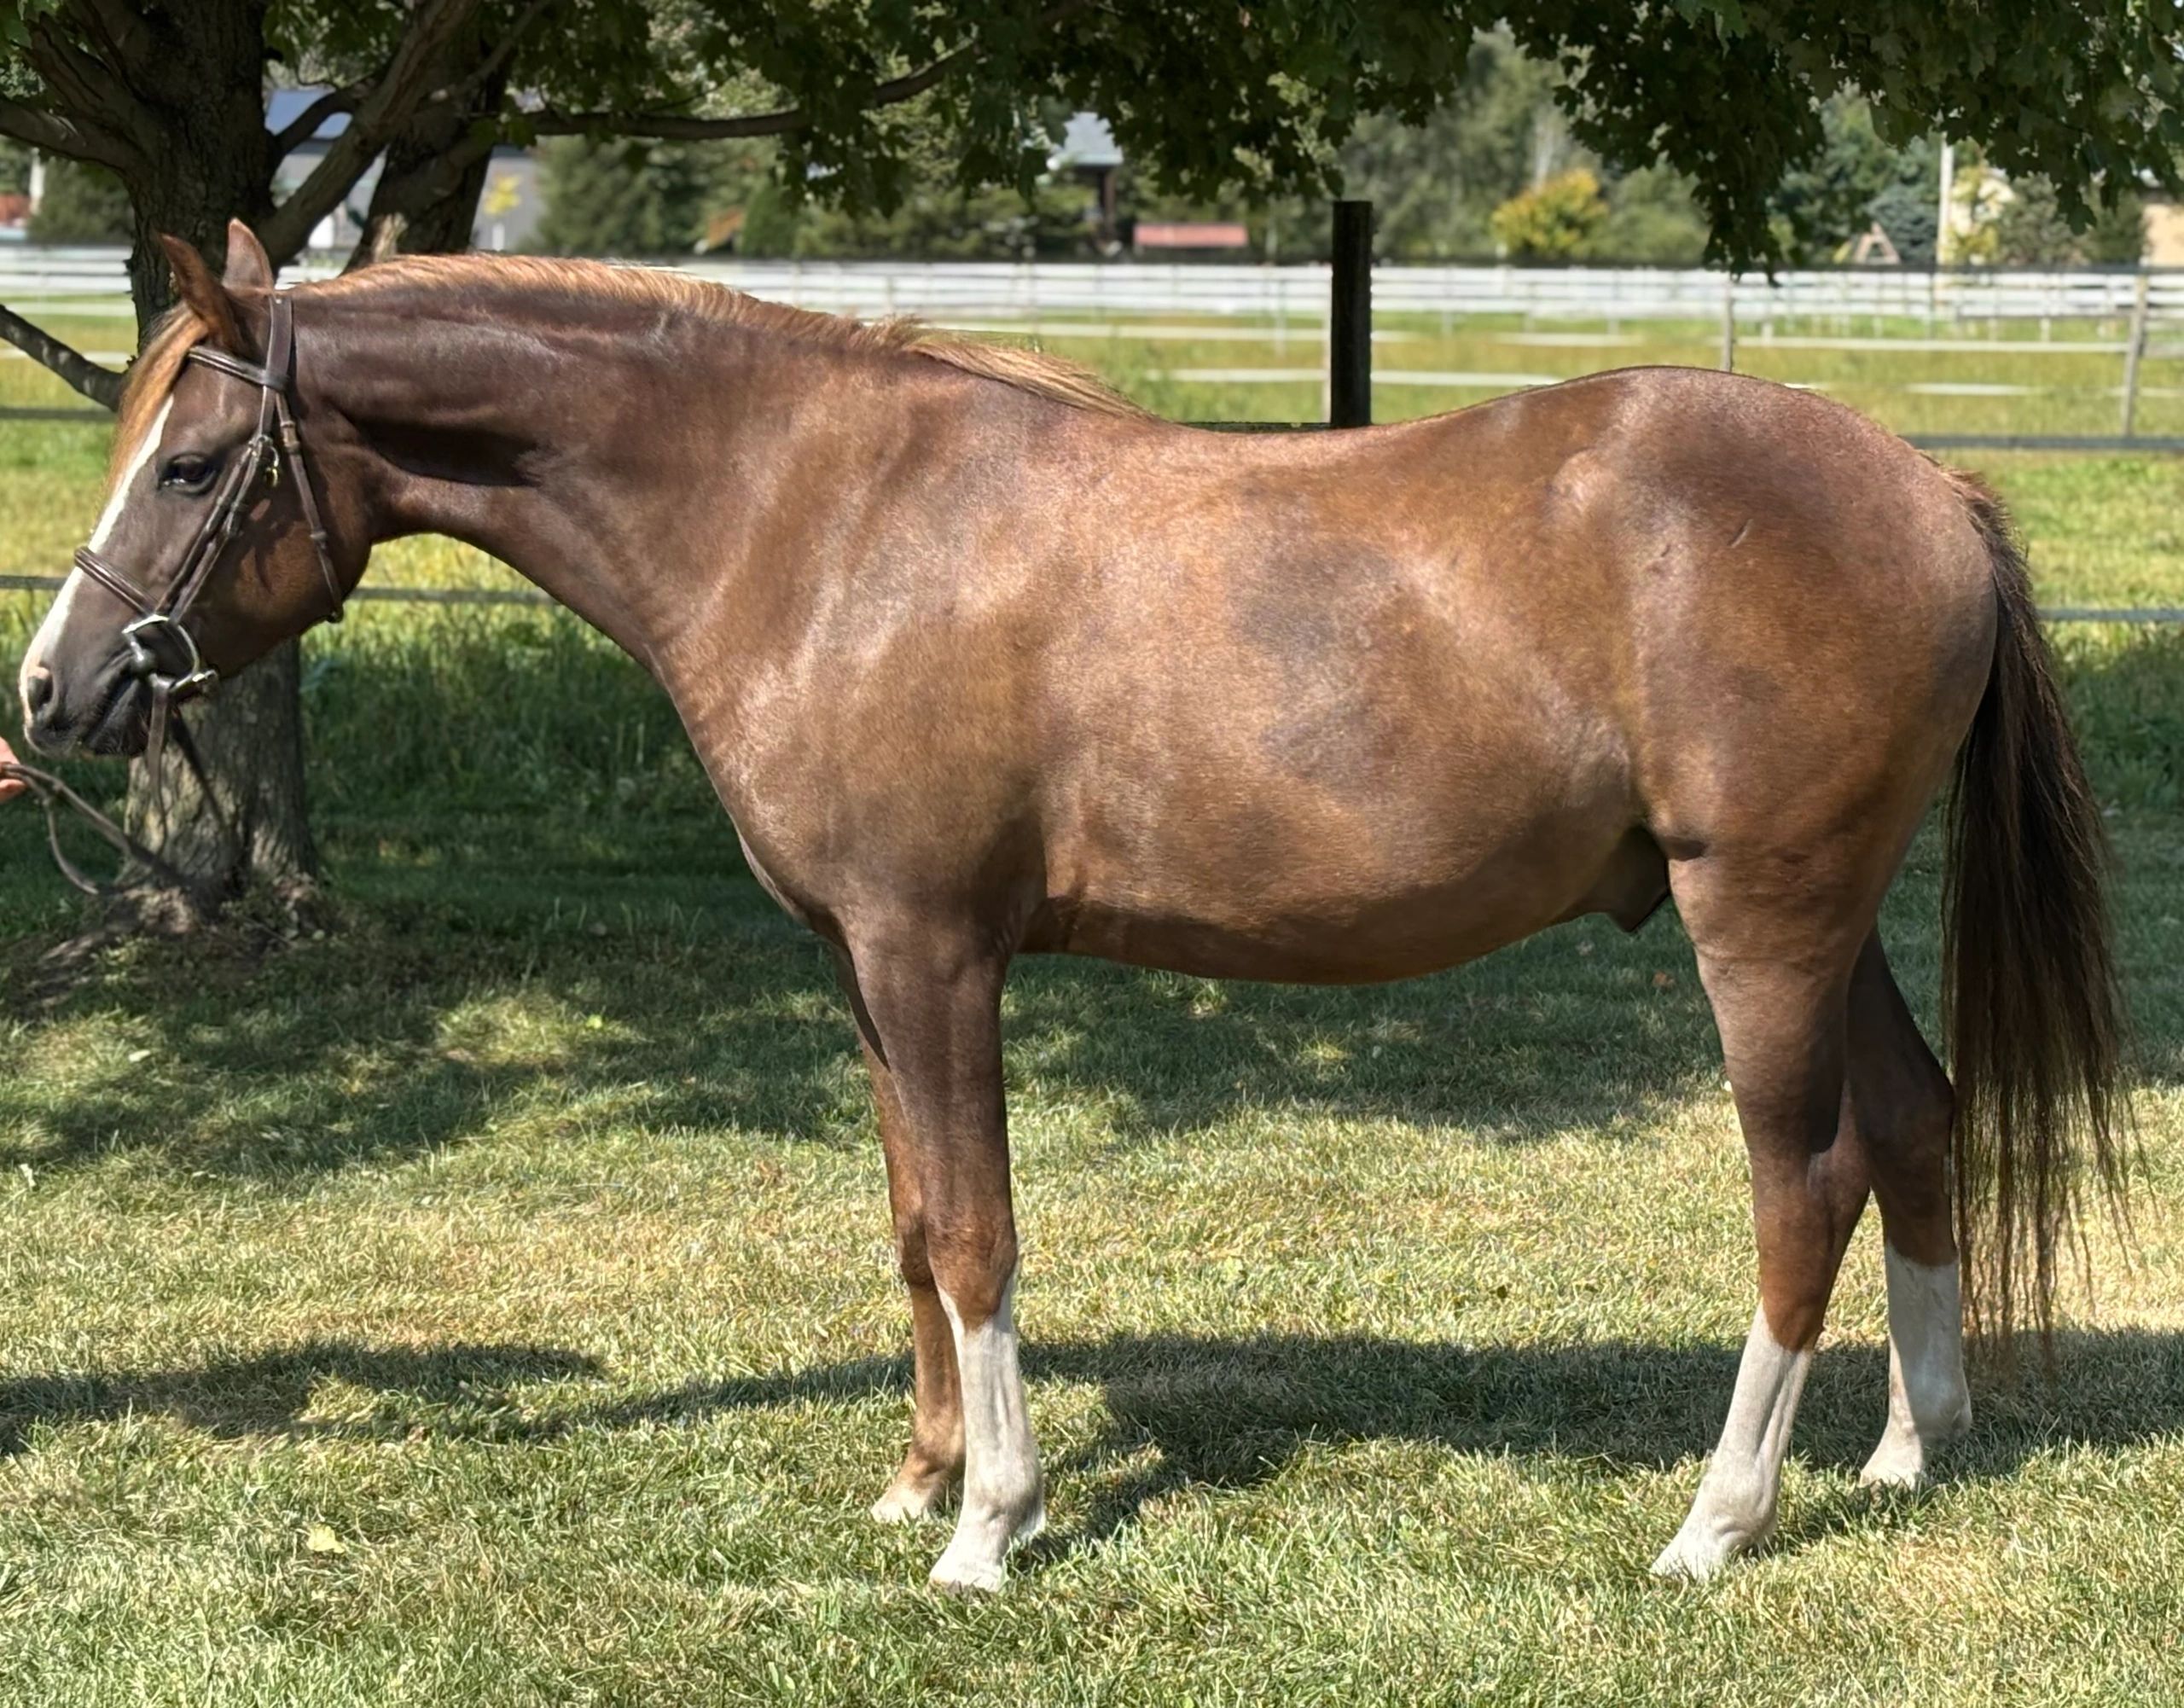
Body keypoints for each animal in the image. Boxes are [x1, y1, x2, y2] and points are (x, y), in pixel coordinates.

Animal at [16, 223, 2126, 1592]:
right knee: (1917, 1121)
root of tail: (1927, 488)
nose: (51, 693)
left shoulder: (933, 952)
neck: (813, 523)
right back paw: (1906, 1446)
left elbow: (974, 1229)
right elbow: (906, 1221)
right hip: (1827, 919)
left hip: (1754, 918)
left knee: (1803, 1180)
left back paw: (1714, 1519)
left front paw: (988, 1528)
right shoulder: (858, 970)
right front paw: (919, 1479)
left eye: (191, 463)